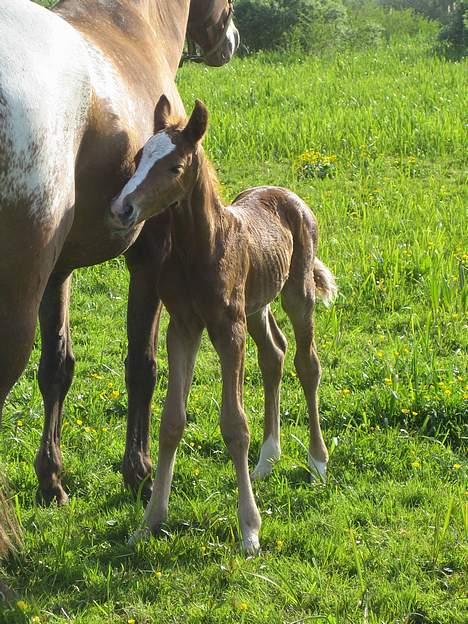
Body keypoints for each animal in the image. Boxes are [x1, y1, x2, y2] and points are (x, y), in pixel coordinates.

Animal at [0, 0, 238, 504]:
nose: (230, 41)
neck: (133, 29)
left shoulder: (57, 271)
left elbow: (56, 368)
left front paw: (51, 479)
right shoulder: (150, 257)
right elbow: (142, 366)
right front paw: (140, 473)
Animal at [109, 95, 336, 552]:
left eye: (174, 167)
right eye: (139, 158)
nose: (122, 208)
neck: (200, 249)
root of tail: (286, 193)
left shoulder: (227, 329)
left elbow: (234, 425)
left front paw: (250, 529)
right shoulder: (183, 327)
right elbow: (171, 422)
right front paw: (150, 521)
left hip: (296, 293)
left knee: (307, 363)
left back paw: (317, 461)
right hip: (256, 306)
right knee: (274, 355)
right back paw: (267, 459)